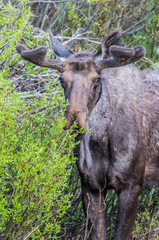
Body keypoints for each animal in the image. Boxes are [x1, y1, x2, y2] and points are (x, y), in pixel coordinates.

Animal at [16, 30, 159, 240]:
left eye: (96, 79)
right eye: (61, 80)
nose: (75, 119)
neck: (102, 143)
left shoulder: (132, 184)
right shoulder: (90, 185)